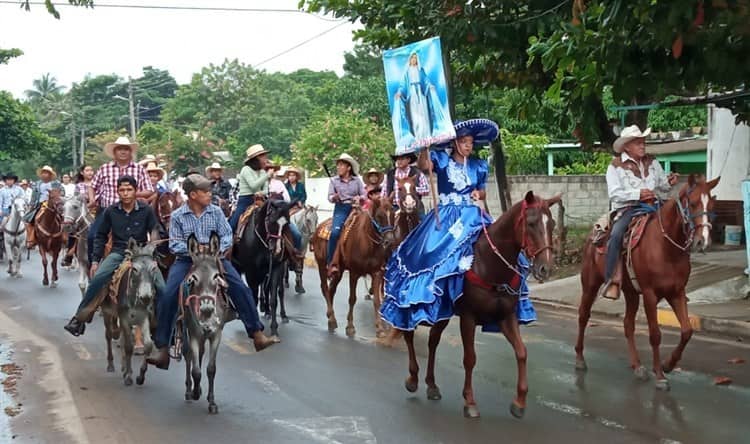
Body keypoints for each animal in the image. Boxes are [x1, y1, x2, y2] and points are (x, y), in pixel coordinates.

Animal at [181, 232, 231, 412]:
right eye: (194, 278)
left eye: (216, 276)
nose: (207, 309)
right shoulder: (194, 333)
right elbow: (196, 371)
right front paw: (195, 392)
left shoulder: (216, 334)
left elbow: (211, 369)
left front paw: (212, 402)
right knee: (188, 355)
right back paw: (189, 391)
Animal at [232, 199, 296, 336]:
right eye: (271, 221)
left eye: (287, 223)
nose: (277, 250)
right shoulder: (251, 272)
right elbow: (253, 296)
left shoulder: (275, 268)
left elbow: (273, 299)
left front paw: (274, 328)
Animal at [310, 196, 396, 338]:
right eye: (379, 216)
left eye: (393, 214)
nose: (390, 241)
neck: (367, 243)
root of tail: (318, 228)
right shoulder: (354, 273)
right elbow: (352, 299)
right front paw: (350, 327)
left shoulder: (377, 273)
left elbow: (377, 301)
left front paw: (380, 329)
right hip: (321, 264)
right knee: (325, 288)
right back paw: (332, 318)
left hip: (338, 271)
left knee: (332, 290)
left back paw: (330, 317)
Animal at [402, 192, 560, 420]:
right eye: (531, 223)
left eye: (552, 224)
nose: (545, 268)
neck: (490, 263)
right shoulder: (468, 317)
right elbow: (470, 358)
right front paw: (469, 401)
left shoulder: (506, 316)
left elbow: (522, 352)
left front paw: (519, 402)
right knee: (408, 335)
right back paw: (413, 379)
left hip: (443, 312)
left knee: (433, 341)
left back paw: (431, 385)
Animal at [576, 175, 724, 390]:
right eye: (693, 203)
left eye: (712, 204)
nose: (702, 241)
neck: (666, 248)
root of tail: (591, 236)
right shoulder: (649, 294)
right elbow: (655, 335)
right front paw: (660, 376)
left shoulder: (677, 292)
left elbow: (687, 331)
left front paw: (668, 364)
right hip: (590, 285)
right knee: (583, 316)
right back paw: (580, 359)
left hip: (630, 292)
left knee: (628, 324)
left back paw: (637, 366)